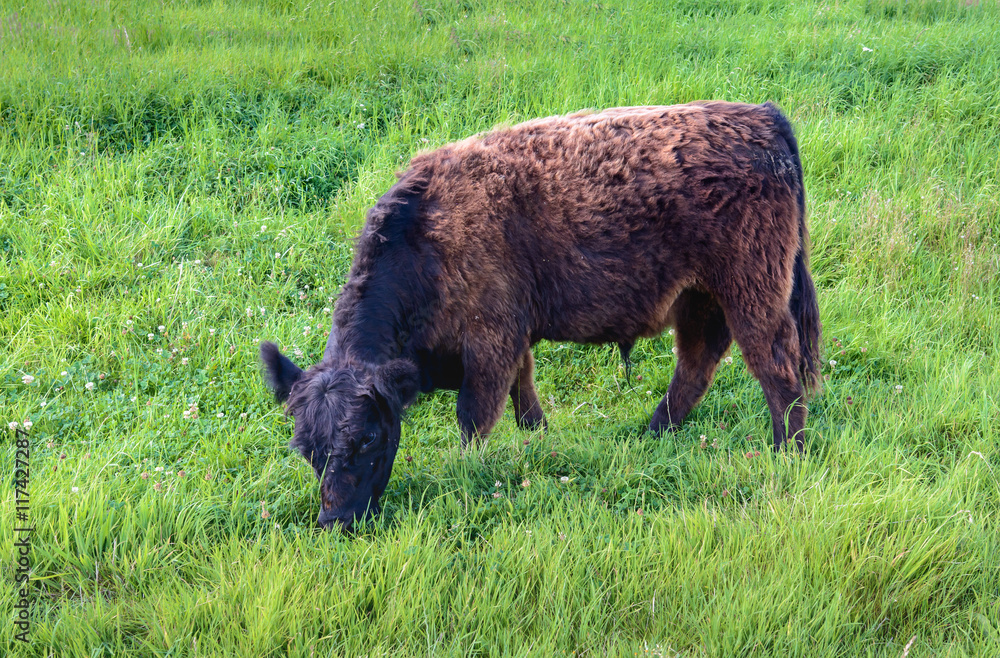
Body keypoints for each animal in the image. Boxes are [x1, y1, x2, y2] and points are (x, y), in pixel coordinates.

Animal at [261, 101, 821, 532]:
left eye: (370, 437)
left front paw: (469, 472)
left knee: (777, 373)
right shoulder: (513, 340)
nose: (336, 520)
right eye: (305, 448)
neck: (427, 240)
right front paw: (539, 440)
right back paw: (652, 435)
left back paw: (786, 453)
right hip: (701, 299)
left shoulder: (490, 344)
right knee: (697, 366)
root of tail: (761, 116)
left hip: (753, 295)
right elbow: (524, 394)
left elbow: (474, 418)